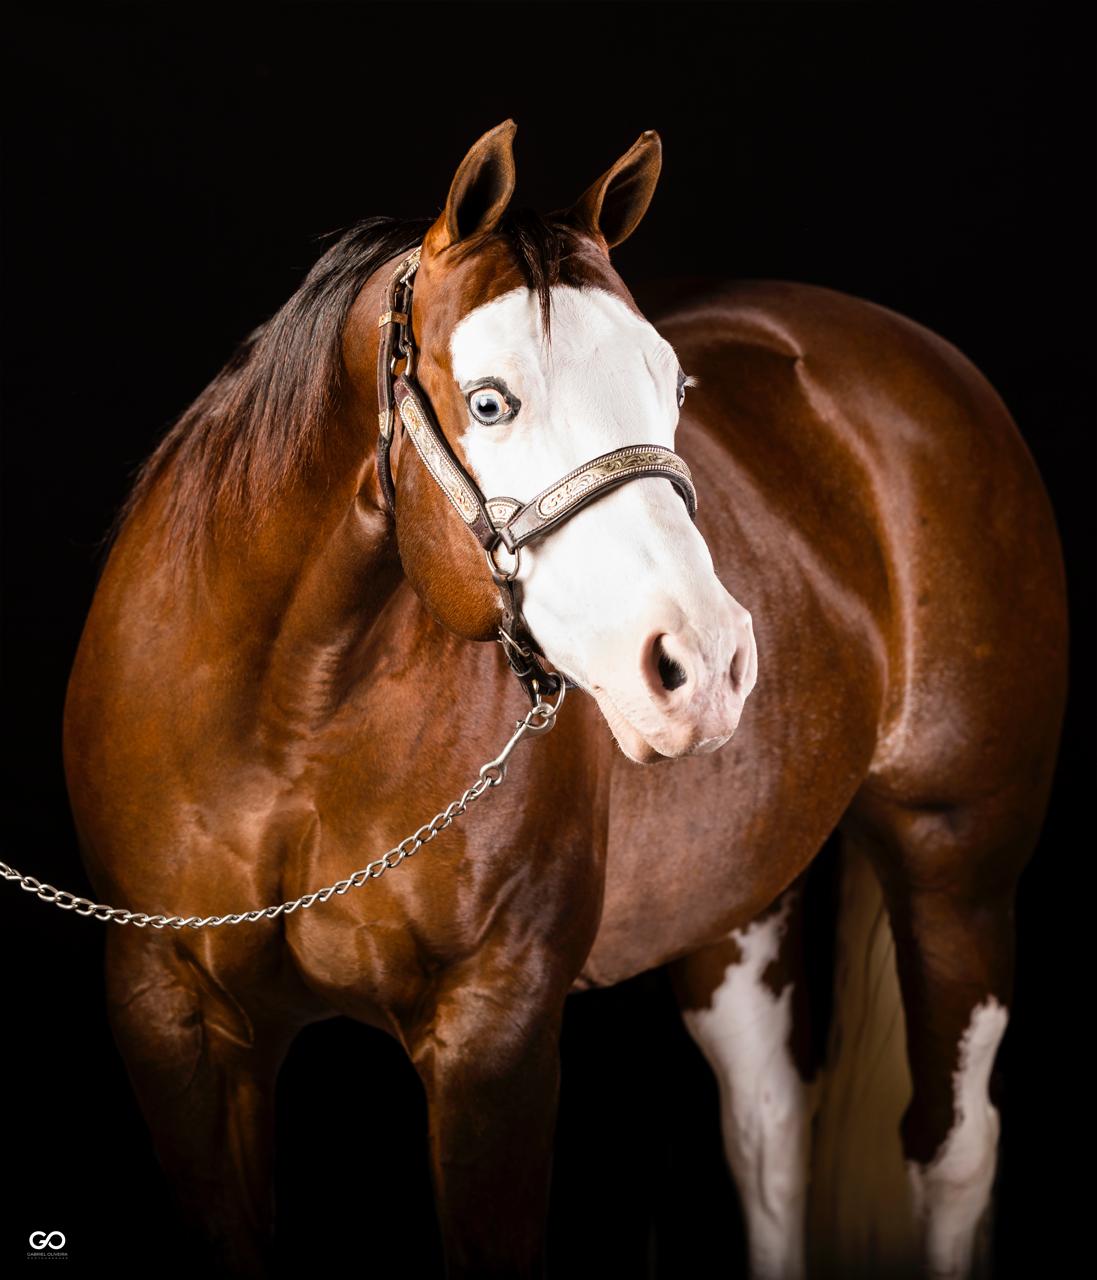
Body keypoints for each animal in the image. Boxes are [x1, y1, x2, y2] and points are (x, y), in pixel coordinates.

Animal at [61, 119, 1068, 1279]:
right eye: (489, 400)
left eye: (674, 389)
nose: (706, 661)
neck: (286, 728)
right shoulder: (171, 1021)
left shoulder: (495, 1032)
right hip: (738, 899)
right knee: (768, 1131)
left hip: (955, 864)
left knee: (949, 1146)